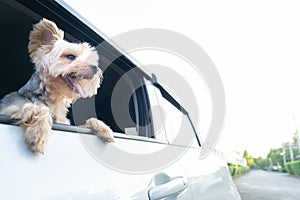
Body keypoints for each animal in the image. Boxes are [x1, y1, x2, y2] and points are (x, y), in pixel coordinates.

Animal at [0, 18, 114, 154]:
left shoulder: (65, 123)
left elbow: (87, 121)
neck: (55, 100)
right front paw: (39, 133)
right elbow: (39, 108)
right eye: (70, 56)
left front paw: (104, 128)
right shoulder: (7, 110)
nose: (95, 68)